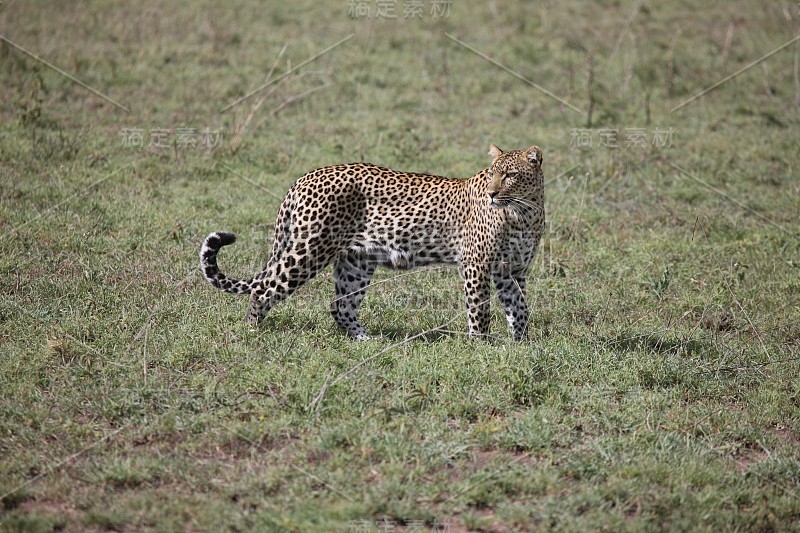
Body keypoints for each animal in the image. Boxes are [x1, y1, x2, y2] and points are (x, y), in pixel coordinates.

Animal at [203, 143, 548, 338]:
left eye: (511, 175)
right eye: (491, 174)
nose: (492, 193)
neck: (524, 212)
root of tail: (304, 178)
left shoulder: (511, 270)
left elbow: (520, 308)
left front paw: (521, 345)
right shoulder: (477, 264)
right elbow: (480, 310)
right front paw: (480, 347)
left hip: (356, 261)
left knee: (340, 306)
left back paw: (366, 341)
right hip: (309, 250)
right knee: (264, 288)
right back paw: (252, 334)